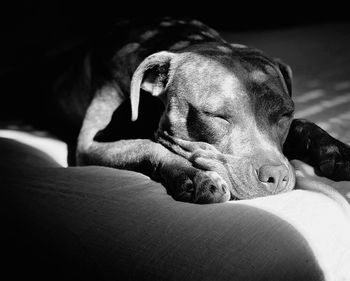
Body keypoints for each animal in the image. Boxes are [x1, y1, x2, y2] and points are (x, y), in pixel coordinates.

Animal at [41, 17, 350, 201]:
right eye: (216, 117)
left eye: (285, 114)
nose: (277, 177)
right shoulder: (87, 147)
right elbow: (145, 145)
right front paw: (194, 176)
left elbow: (305, 125)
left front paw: (335, 150)